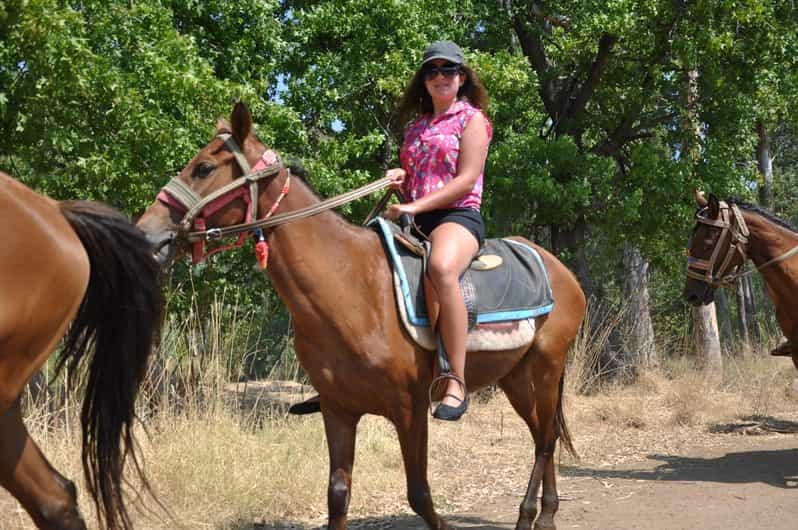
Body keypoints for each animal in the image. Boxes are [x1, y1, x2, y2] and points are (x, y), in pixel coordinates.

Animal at [137, 102, 586, 530]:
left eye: (204, 168)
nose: (147, 235)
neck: (351, 286)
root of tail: (561, 271)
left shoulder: (410, 411)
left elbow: (419, 495)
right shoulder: (338, 410)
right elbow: (337, 496)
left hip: (546, 368)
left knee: (546, 439)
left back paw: (533, 515)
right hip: (516, 376)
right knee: (542, 433)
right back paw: (543, 513)